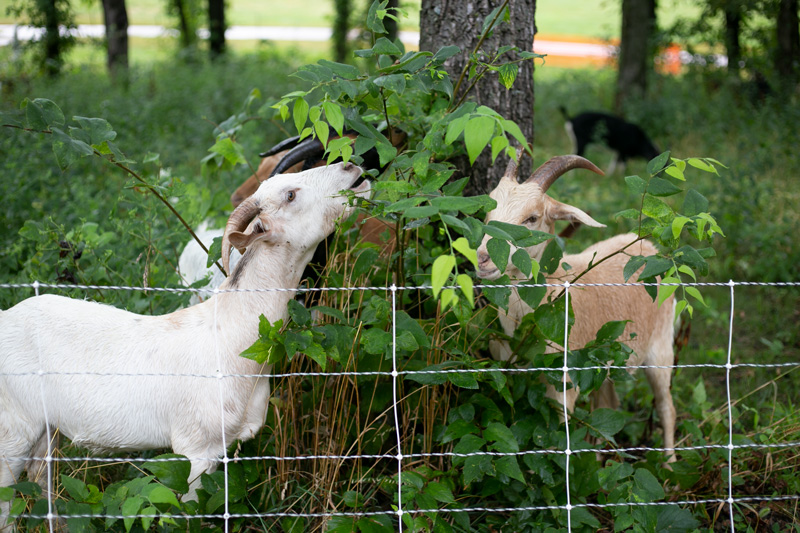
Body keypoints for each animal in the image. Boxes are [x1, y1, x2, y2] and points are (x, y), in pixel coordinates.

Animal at [0, 163, 371, 528]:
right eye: (290, 195)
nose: (352, 167)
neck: (231, 334)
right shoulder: (195, 449)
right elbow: (191, 513)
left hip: (45, 431)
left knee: (40, 480)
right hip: (12, 431)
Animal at [476, 155, 677, 461]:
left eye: (532, 218)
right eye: (490, 211)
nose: (483, 258)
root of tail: (649, 248)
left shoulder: (563, 384)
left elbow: (560, 436)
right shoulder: (510, 376)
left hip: (661, 347)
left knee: (667, 406)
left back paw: (670, 463)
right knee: (607, 404)